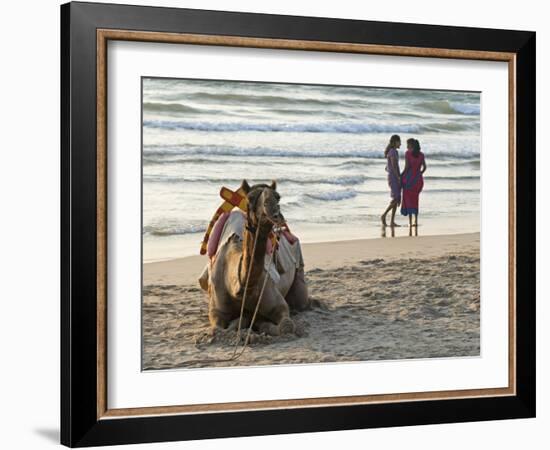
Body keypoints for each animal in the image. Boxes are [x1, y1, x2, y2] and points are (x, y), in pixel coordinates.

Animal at [198, 178, 310, 334]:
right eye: (250, 198)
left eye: (278, 196)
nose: (274, 214)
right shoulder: (217, 310)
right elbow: (218, 329)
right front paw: (243, 321)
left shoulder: (277, 303)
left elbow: (286, 326)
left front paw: (259, 323)